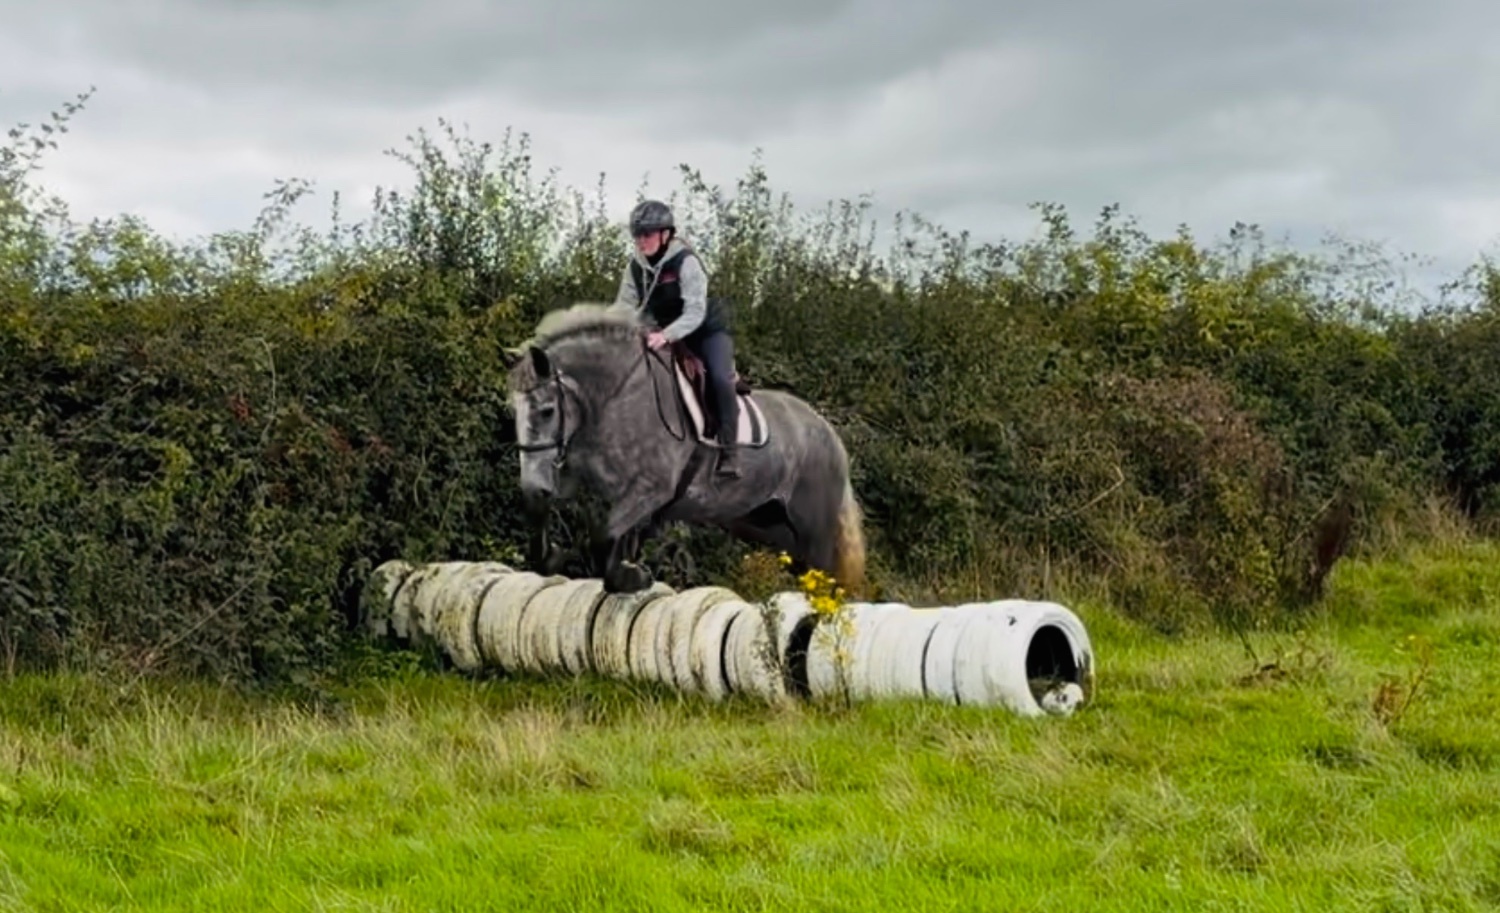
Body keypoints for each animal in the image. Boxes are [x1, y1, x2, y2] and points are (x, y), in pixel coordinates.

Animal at [500, 302, 866, 597]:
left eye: (547, 410)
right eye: (513, 411)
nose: (533, 483)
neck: (616, 397)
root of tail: (831, 435)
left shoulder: (651, 490)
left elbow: (604, 535)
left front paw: (630, 577)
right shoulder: (577, 477)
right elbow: (545, 511)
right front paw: (551, 556)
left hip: (813, 533)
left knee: (827, 578)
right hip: (765, 525)